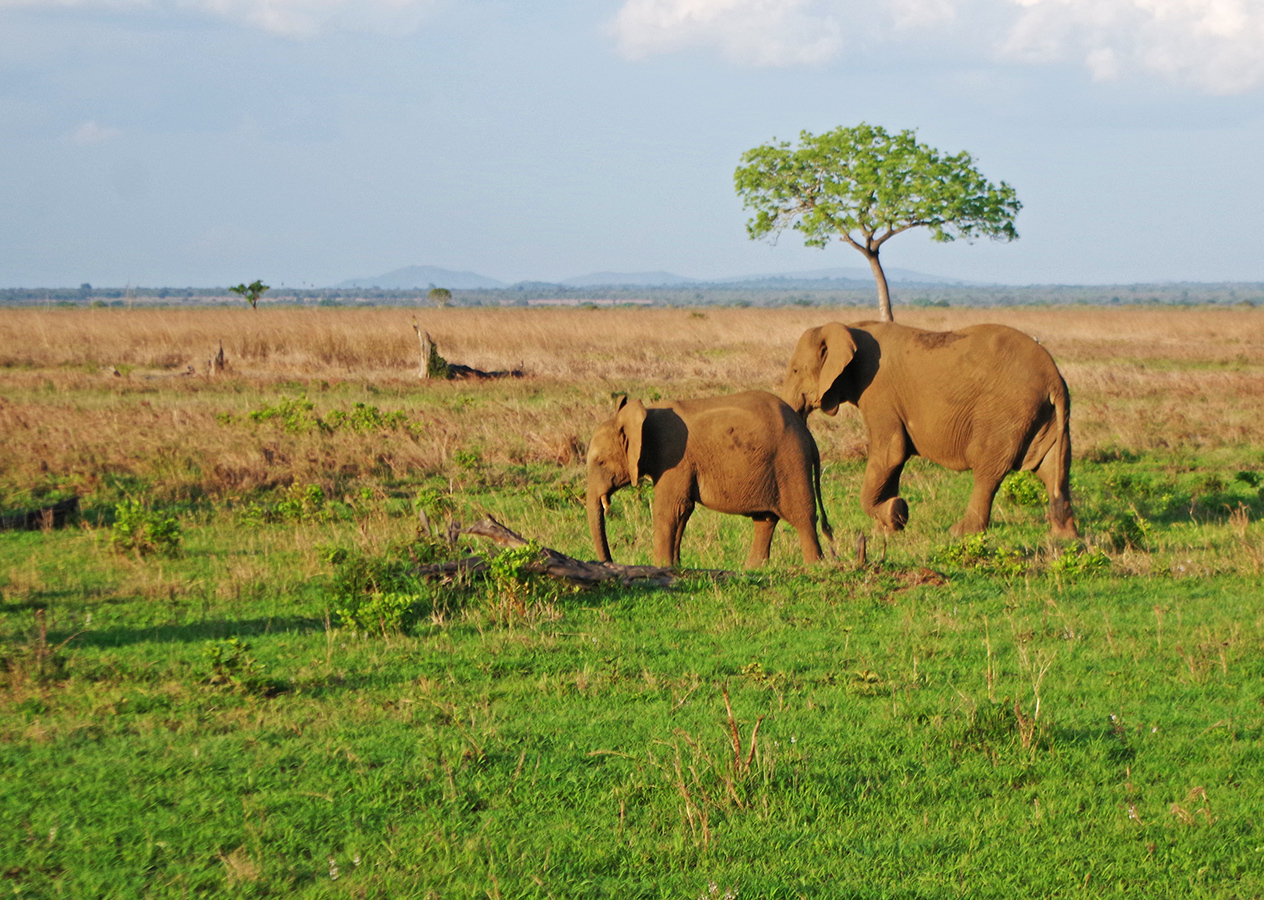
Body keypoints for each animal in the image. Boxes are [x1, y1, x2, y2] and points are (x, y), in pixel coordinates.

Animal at [586, 389, 834, 566]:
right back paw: (753, 569)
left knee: (802, 516)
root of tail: (808, 435)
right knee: (765, 519)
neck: (643, 417)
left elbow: (670, 509)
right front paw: (675, 566)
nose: (609, 563)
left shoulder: (673, 455)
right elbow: (683, 510)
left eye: (600, 462)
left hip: (791, 462)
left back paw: (814, 566)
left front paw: (661, 567)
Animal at [778, 321, 1076, 538]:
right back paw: (1064, 537)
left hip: (1007, 411)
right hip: (1045, 415)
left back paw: (961, 532)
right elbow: (893, 462)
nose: (828, 530)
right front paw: (888, 527)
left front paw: (895, 514)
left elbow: (891, 452)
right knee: (1053, 467)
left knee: (988, 468)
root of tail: (1054, 379)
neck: (848, 327)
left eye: (795, 370)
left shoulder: (878, 391)